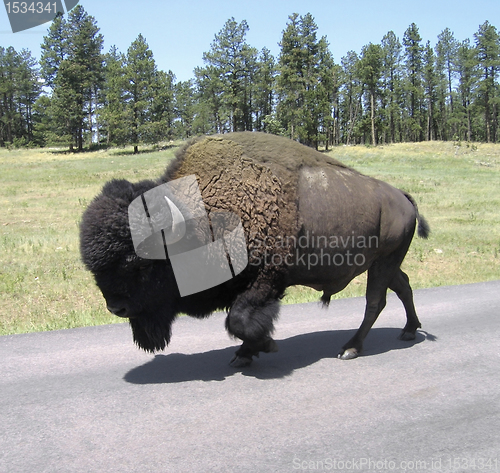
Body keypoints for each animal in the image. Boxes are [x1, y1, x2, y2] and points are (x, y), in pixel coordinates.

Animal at [80, 131, 428, 366]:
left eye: (139, 264)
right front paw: (245, 354)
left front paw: (262, 346)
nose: (116, 307)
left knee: (375, 301)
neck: (203, 216)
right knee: (403, 287)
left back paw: (350, 348)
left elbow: (238, 320)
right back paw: (409, 330)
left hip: (383, 263)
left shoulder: (266, 279)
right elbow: (238, 320)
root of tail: (403, 197)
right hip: (385, 263)